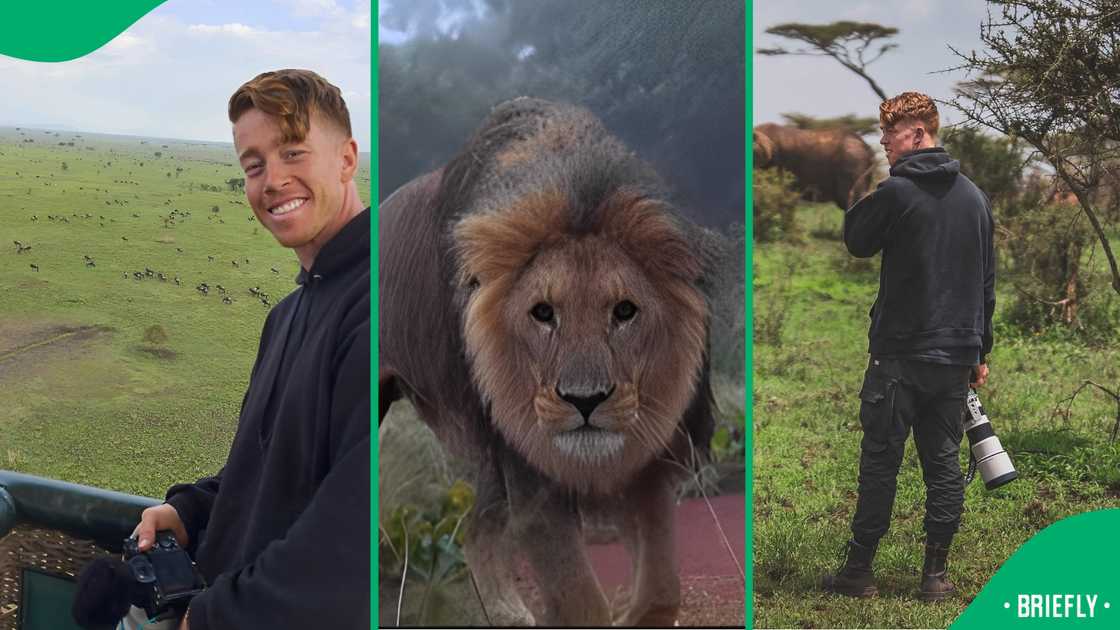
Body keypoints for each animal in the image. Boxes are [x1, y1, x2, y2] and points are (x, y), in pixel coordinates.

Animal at [379, 98, 720, 627]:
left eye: (625, 311)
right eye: (542, 313)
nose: (586, 401)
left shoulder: (648, 456)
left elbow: (661, 586)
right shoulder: (529, 473)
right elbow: (581, 600)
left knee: (476, 530)